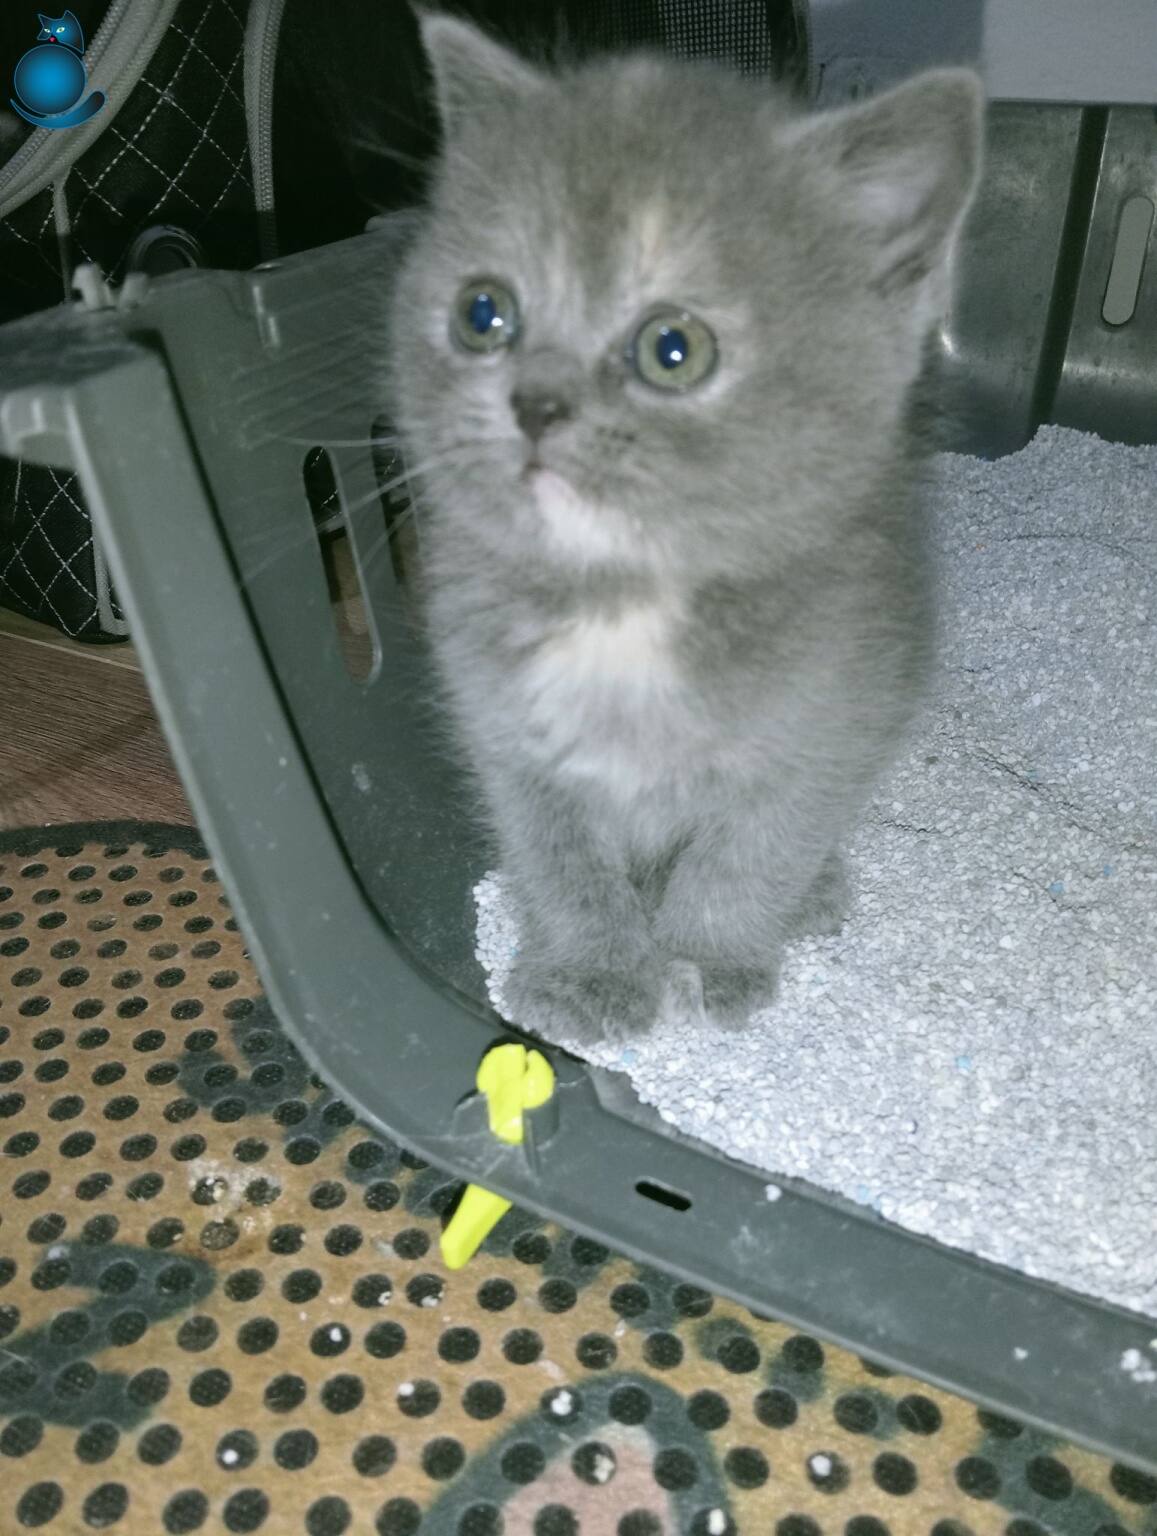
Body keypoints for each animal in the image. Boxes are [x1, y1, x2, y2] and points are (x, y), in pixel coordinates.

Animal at [386, 12, 983, 1045]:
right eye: (481, 313)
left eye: (674, 348)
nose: (535, 404)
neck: (624, 596)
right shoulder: (506, 733)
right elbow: (557, 857)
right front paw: (589, 971)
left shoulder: (826, 719)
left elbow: (751, 851)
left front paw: (708, 958)